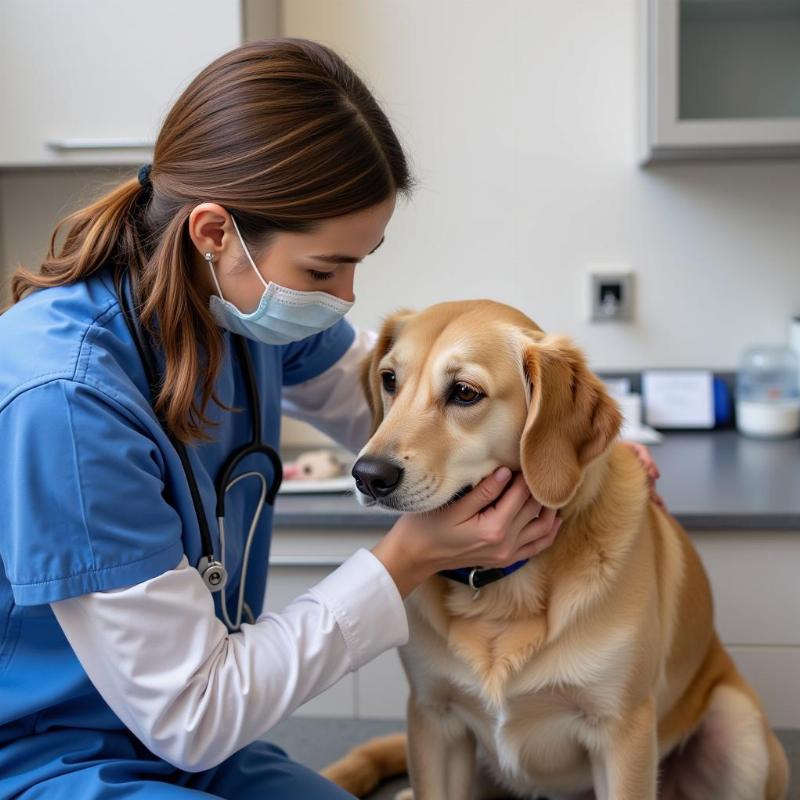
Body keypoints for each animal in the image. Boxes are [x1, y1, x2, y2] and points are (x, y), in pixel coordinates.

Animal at [324, 302, 788, 800]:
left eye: (464, 392)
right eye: (390, 380)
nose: (367, 475)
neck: (500, 590)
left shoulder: (622, 732)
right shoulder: (433, 717)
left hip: (738, 732)